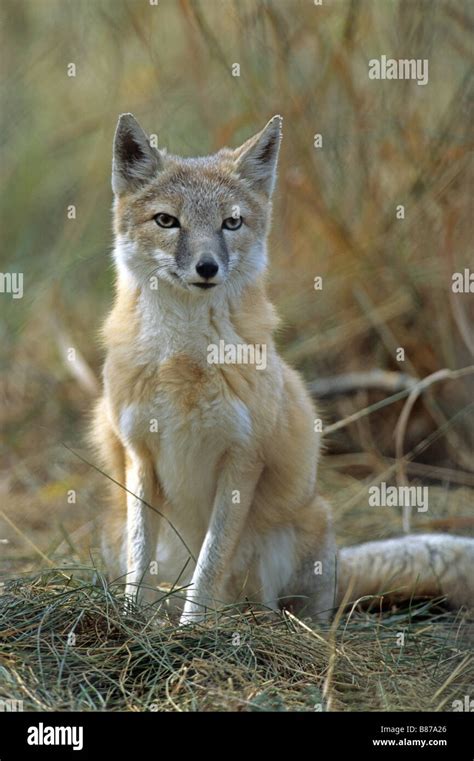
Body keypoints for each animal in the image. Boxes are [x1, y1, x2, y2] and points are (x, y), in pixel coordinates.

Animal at [90, 114, 472, 624]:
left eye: (231, 223)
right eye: (167, 221)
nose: (207, 267)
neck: (184, 361)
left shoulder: (242, 460)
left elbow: (210, 562)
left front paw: (190, 629)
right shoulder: (140, 456)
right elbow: (140, 557)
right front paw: (133, 622)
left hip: (291, 541)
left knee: (275, 606)